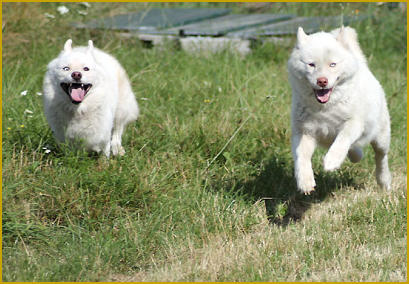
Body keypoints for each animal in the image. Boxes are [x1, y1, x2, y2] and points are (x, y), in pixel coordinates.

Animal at [286, 26, 390, 194]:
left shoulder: (353, 123)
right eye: (311, 64)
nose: (322, 81)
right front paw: (305, 182)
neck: (324, 109)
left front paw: (331, 161)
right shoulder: (304, 132)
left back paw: (384, 181)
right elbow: (301, 155)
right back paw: (356, 155)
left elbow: (342, 140)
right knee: (355, 149)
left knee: (381, 157)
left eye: (332, 64)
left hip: (381, 137)